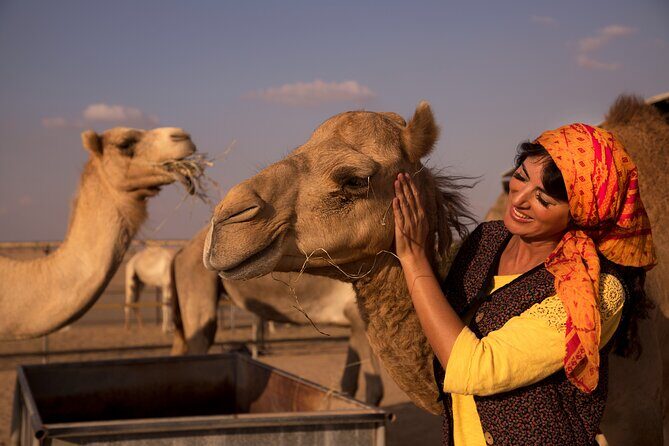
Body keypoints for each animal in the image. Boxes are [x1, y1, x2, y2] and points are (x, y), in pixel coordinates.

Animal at [170, 227, 384, 404]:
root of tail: (181, 251)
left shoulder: (355, 322)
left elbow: (349, 385)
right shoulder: (358, 317)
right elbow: (375, 389)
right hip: (198, 278)